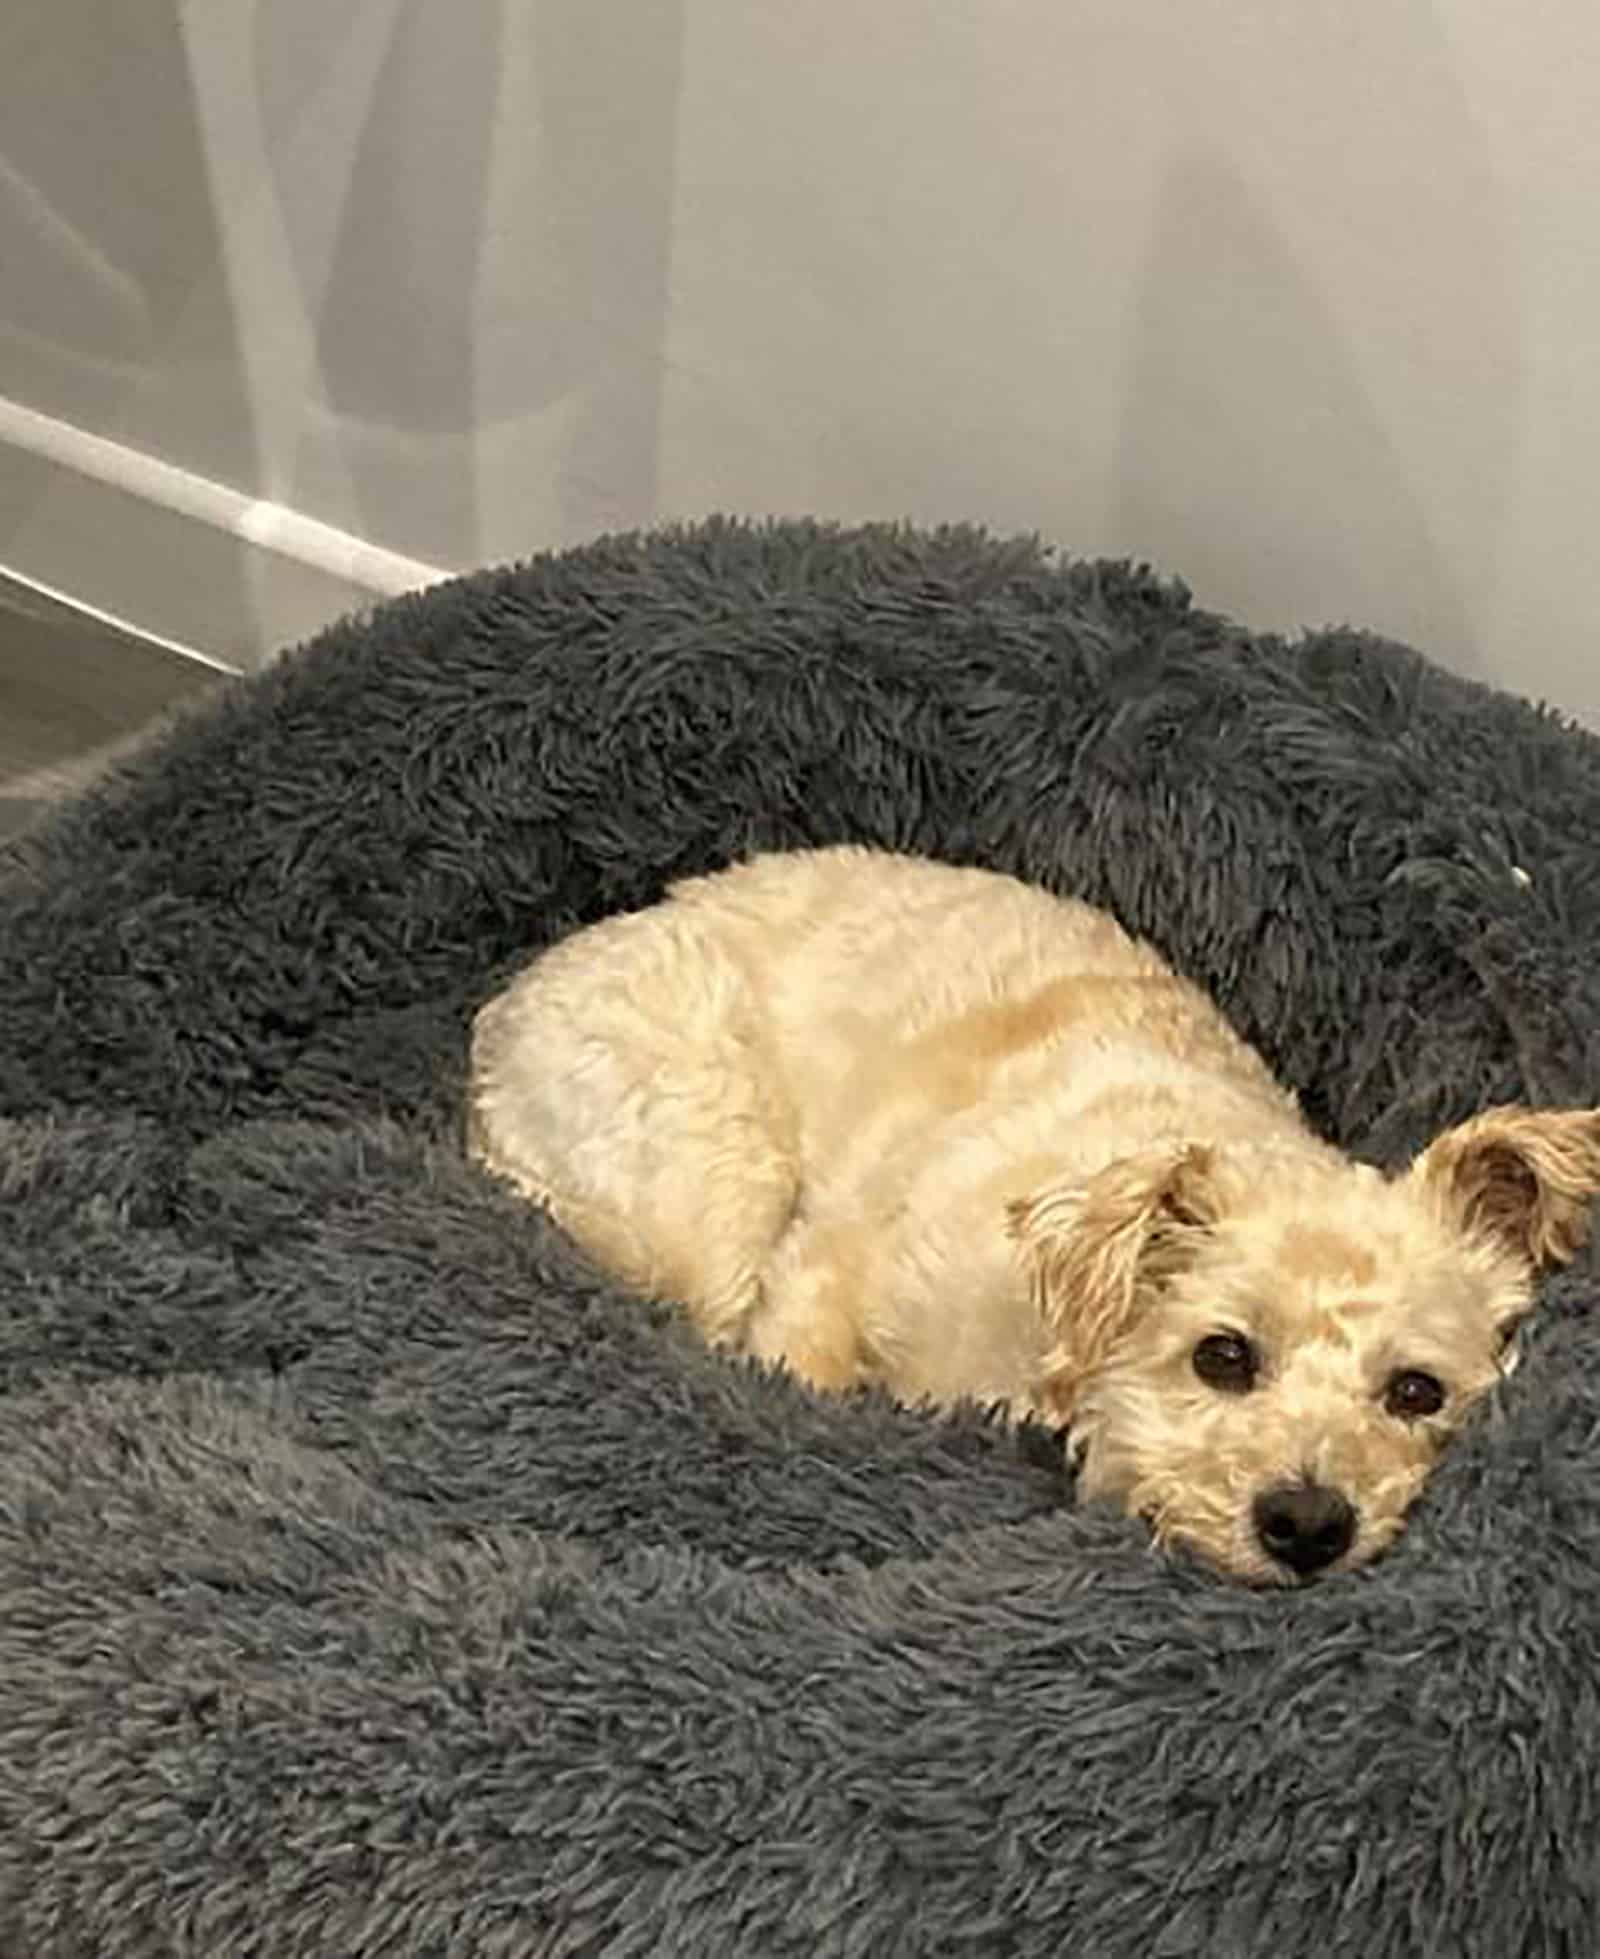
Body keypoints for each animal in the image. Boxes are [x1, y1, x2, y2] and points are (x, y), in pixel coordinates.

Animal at [464, 850, 1598, 1582]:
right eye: (1221, 1356)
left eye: (1416, 1390)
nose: (1308, 1525)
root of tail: (501, 1018)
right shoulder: (831, 1272)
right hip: (708, 1155)